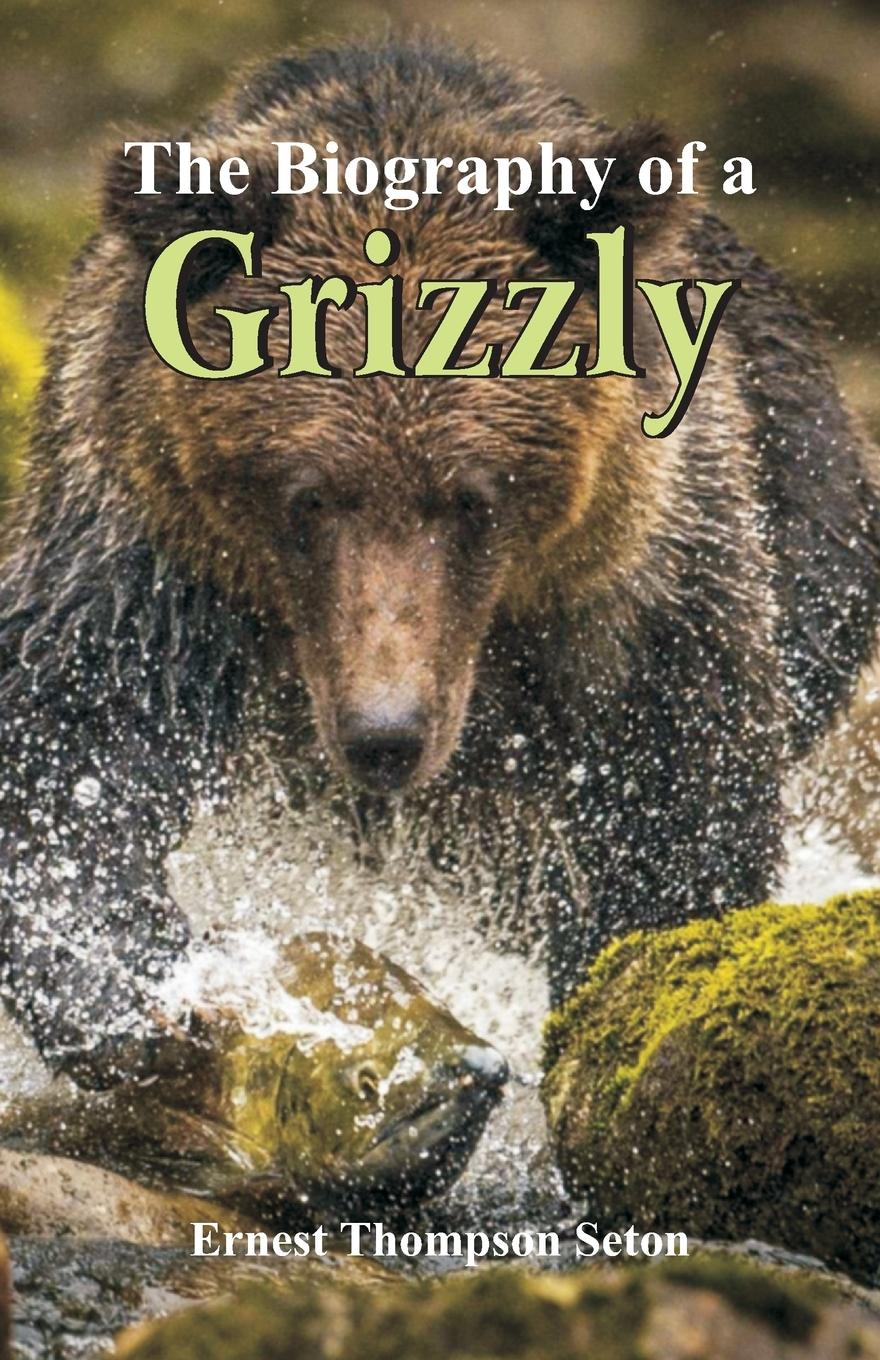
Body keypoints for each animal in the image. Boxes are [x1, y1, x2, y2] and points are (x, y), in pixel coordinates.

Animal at [1, 38, 878, 1088]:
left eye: (473, 498)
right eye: (308, 495)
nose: (386, 734)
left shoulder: (637, 585)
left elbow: (672, 815)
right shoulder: (148, 547)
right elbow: (78, 744)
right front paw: (150, 997)